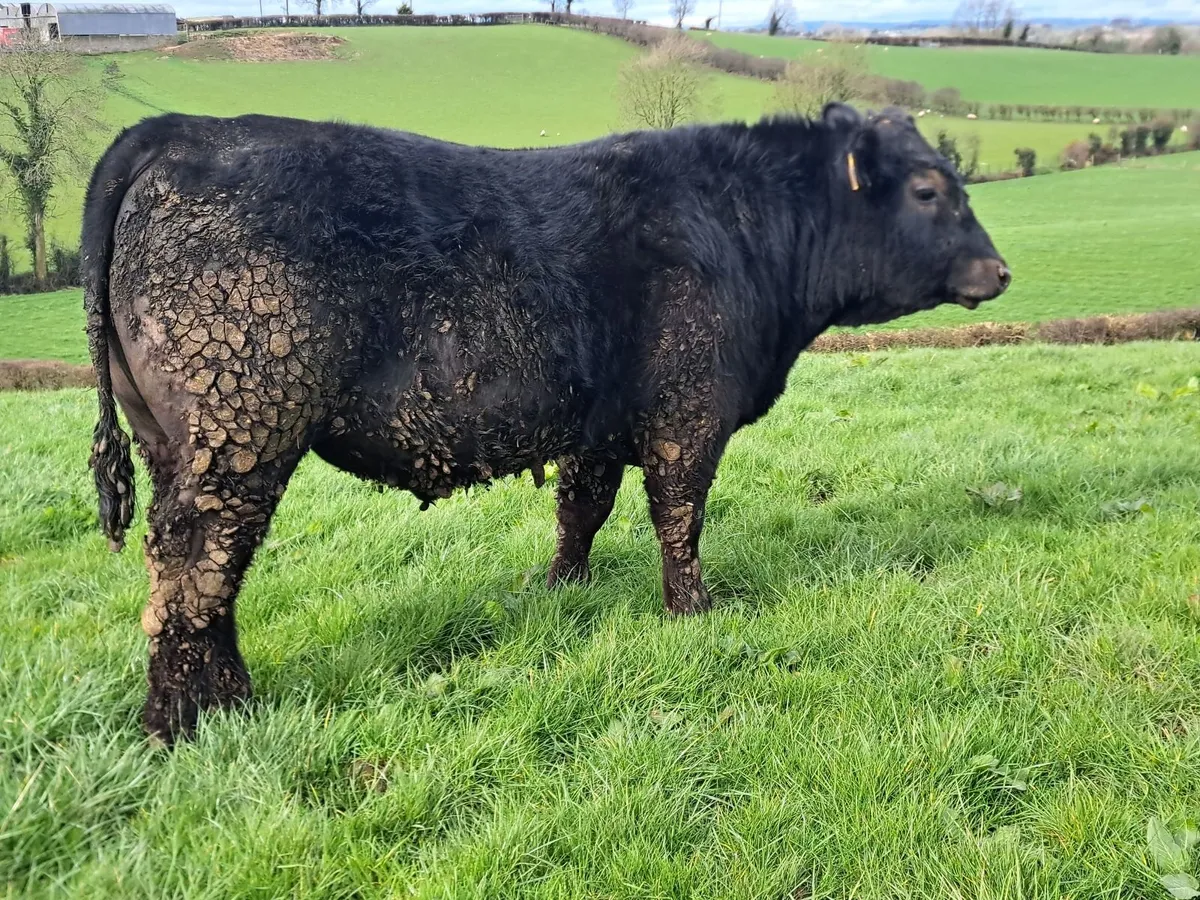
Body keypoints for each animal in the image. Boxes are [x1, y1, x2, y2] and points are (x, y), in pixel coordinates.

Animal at [83, 104, 1010, 744]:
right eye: (930, 191)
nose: (1000, 270)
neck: (749, 231)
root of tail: (180, 129)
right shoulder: (689, 413)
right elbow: (679, 517)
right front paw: (693, 612)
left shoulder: (598, 423)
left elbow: (582, 510)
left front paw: (562, 589)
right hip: (239, 433)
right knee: (194, 567)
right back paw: (183, 722)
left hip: (176, 442)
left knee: (202, 574)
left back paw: (228, 701)